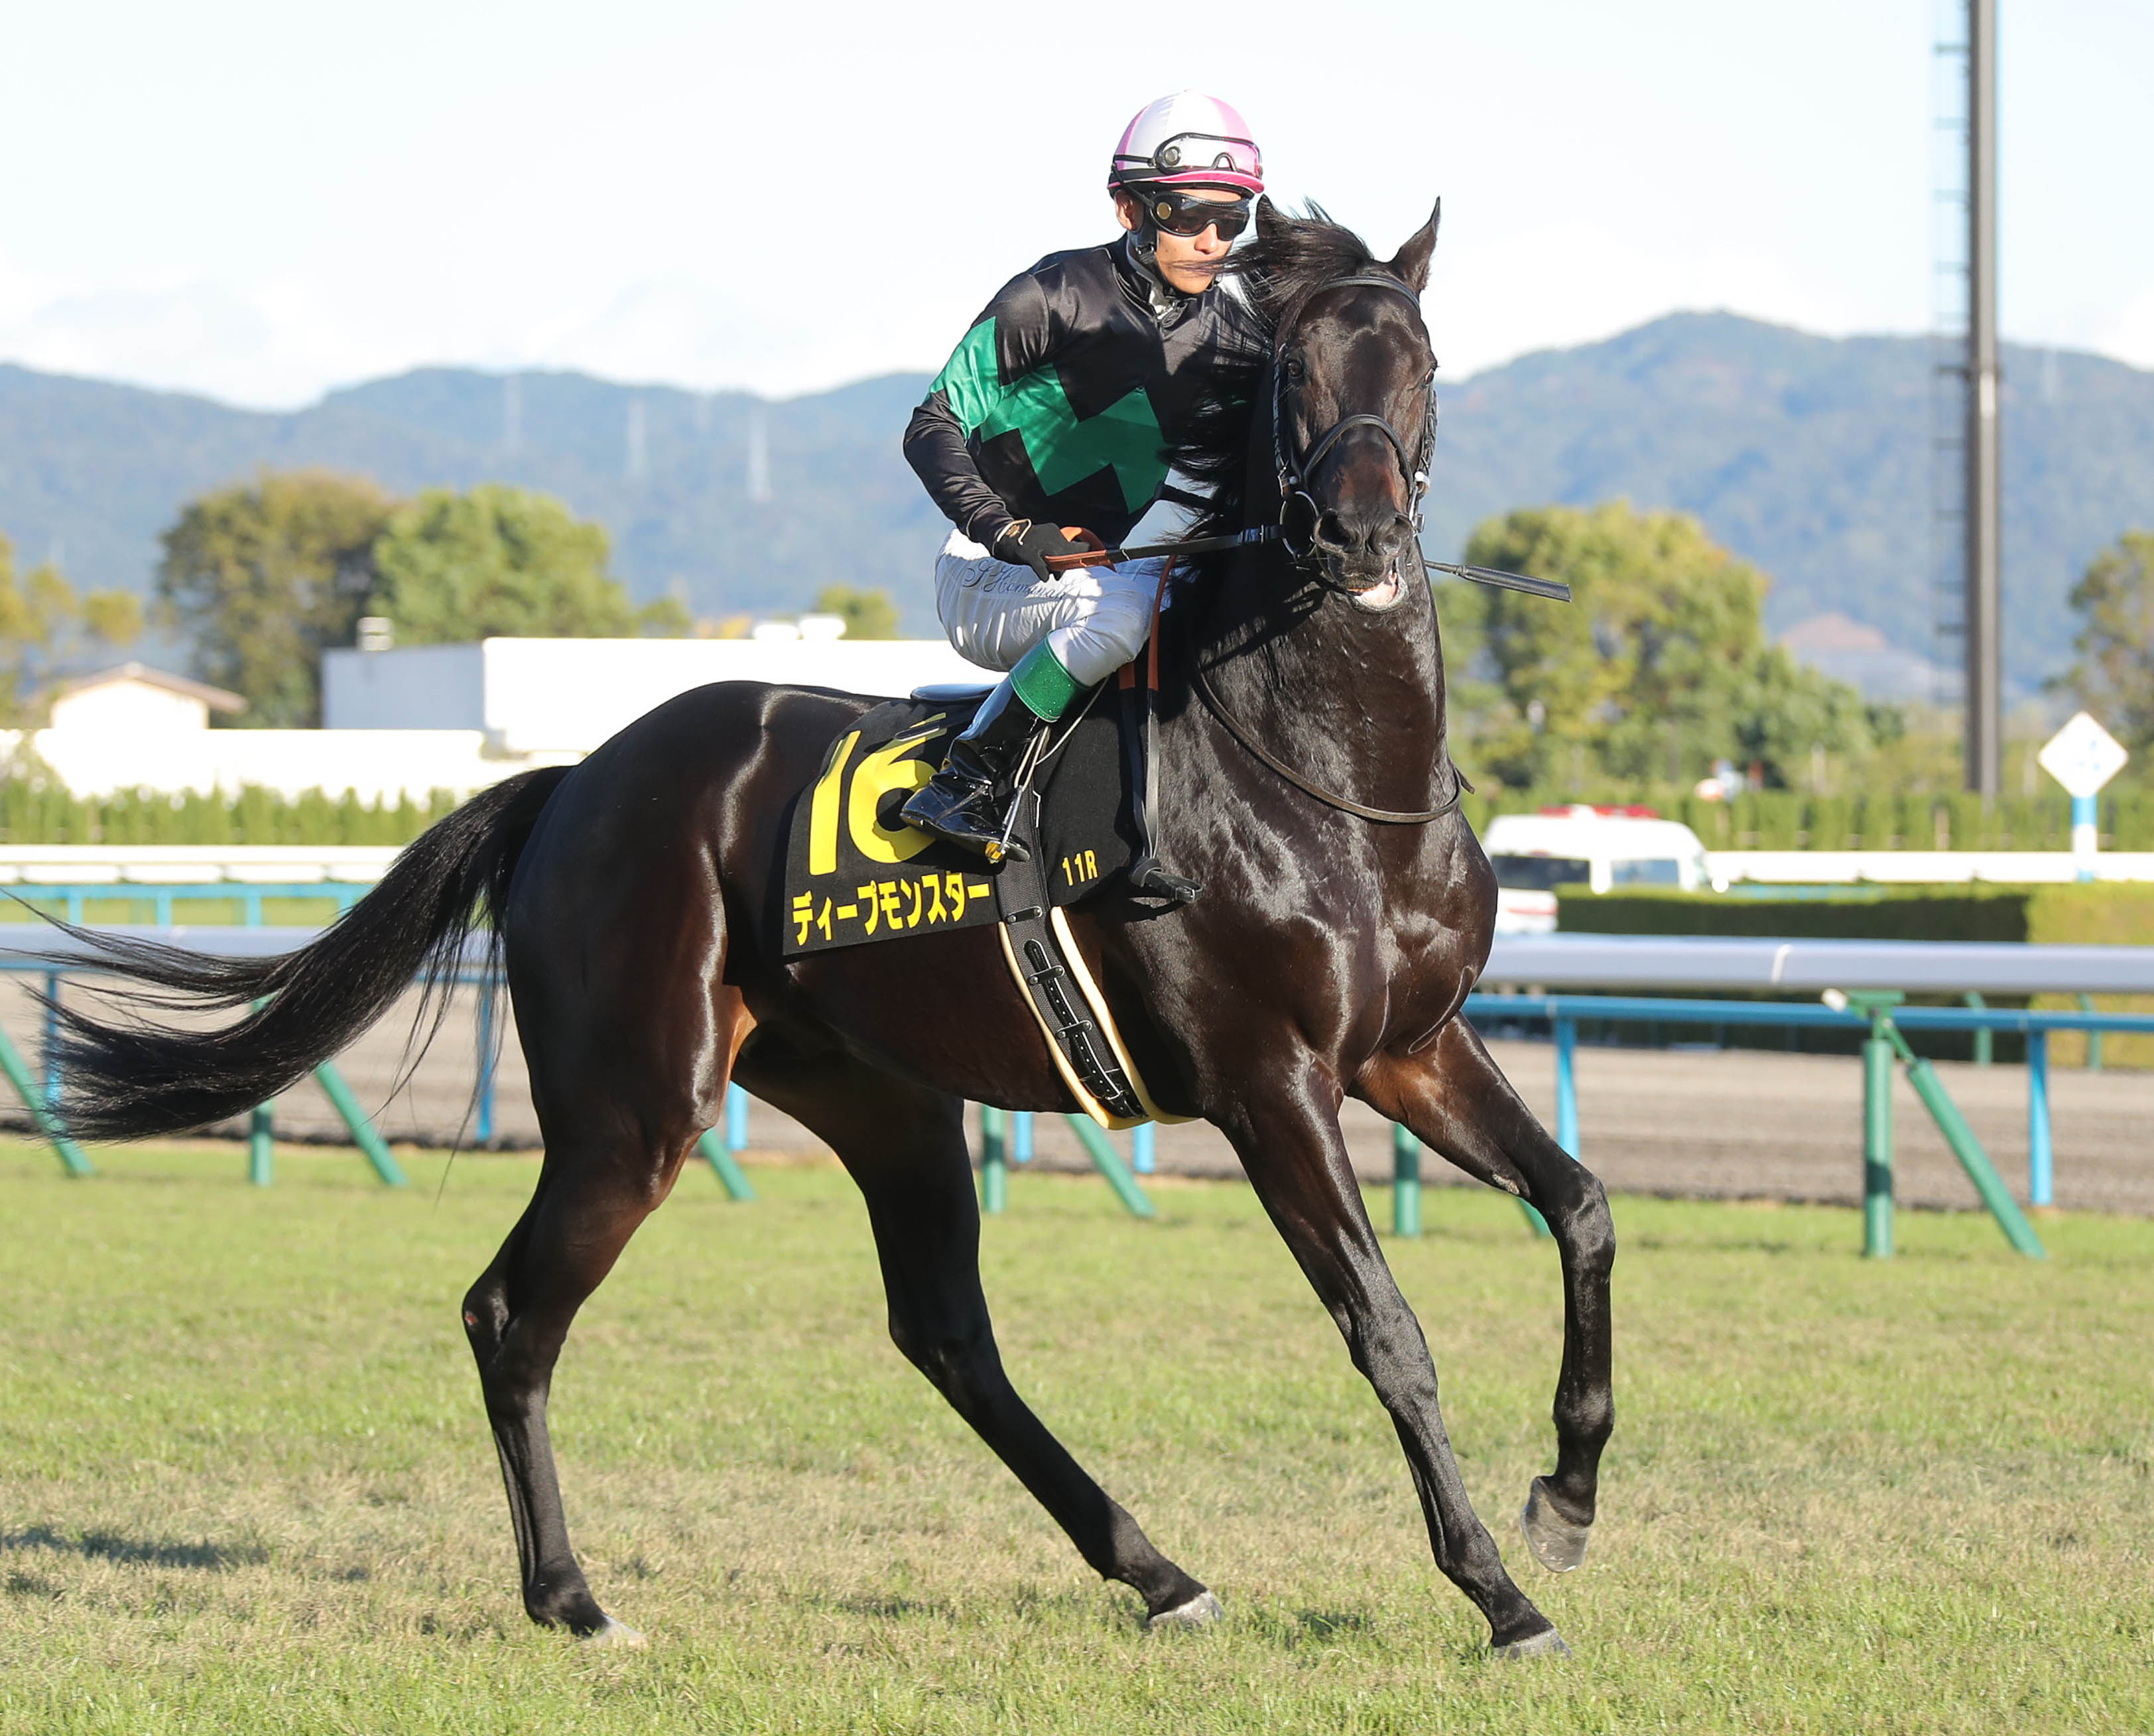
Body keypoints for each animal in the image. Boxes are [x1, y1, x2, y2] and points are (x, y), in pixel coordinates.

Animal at [47, 200, 1613, 1658]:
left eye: (1420, 361)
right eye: (1294, 371)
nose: (1357, 533)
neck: (1327, 771)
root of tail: (575, 781)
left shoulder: (1410, 1045)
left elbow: (1580, 1206)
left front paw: (1569, 1492)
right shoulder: (1267, 1081)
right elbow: (1388, 1331)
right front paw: (1498, 1593)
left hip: (878, 1096)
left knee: (945, 1335)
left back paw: (1157, 1572)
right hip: (637, 1103)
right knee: (512, 1312)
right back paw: (573, 1598)